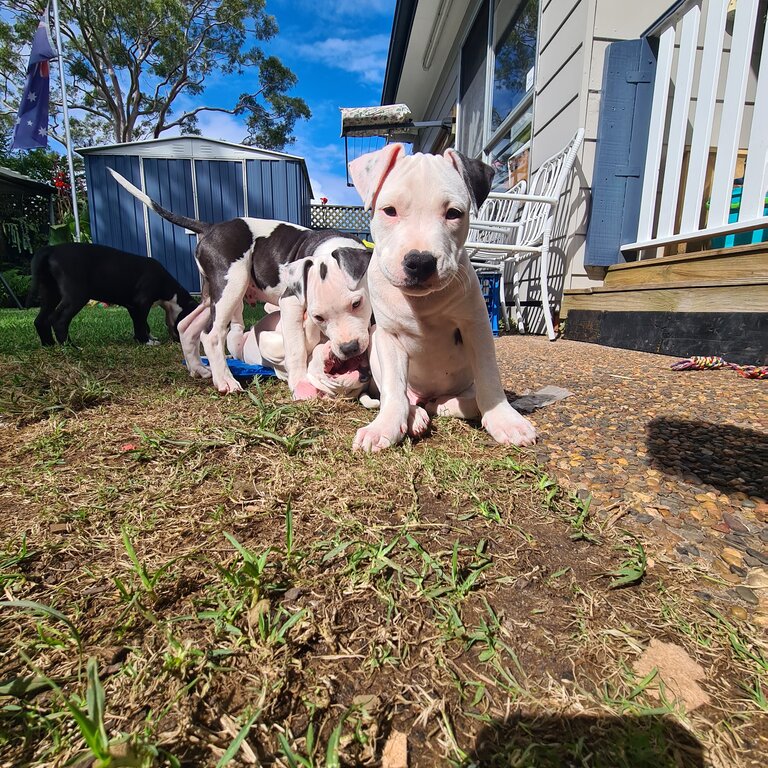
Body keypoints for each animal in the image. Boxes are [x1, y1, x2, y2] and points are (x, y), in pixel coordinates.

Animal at [28, 243, 198, 344]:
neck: (173, 295)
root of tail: (51, 249)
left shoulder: (133, 306)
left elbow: (141, 323)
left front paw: (144, 338)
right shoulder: (142, 302)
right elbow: (142, 322)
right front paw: (146, 341)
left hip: (50, 294)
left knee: (40, 320)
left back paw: (49, 345)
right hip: (77, 296)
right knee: (59, 319)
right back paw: (69, 346)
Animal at [346, 144, 536, 450]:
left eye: (453, 213)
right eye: (389, 211)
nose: (420, 262)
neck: (422, 303)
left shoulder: (477, 328)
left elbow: (489, 380)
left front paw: (505, 420)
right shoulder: (389, 336)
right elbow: (393, 389)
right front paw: (385, 427)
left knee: (467, 399)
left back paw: (442, 405)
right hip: (374, 343)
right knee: (399, 394)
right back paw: (416, 415)